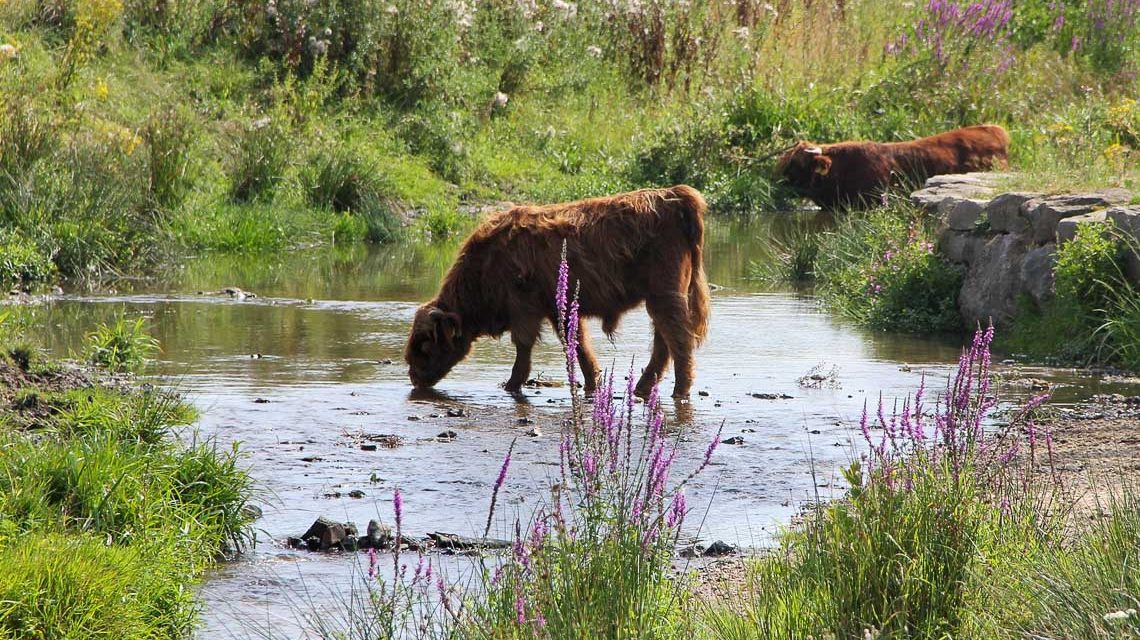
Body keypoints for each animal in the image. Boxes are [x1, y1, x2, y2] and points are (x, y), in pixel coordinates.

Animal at [405, 185, 710, 398]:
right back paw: (643, 388)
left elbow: (524, 348)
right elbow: (577, 344)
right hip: (661, 297)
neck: (486, 266)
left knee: (678, 341)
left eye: (425, 344)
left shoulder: (524, 310)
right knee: (664, 342)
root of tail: (673, 194)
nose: (414, 377)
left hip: (664, 294)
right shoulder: (557, 309)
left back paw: (679, 392)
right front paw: (592, 383)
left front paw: (511, 385)